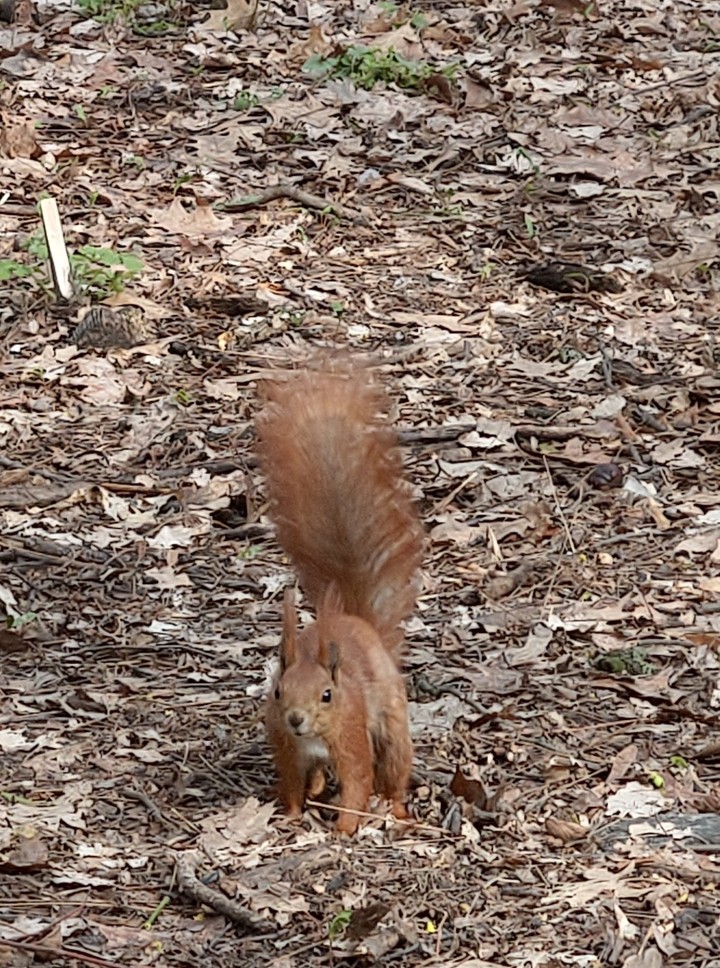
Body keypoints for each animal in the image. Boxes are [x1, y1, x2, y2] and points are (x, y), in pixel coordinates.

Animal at [257, 356, 423, 835]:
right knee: (314, 777)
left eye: (328, 695)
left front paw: (345, 829)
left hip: (392, 725)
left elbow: (357, 783)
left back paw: (396, 809)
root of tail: (358, 622)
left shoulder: (350, 739)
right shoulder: (286, 749)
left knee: (393, 772)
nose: (295, 719)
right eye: (278, 691)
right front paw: (292, 815)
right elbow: (292, 784)